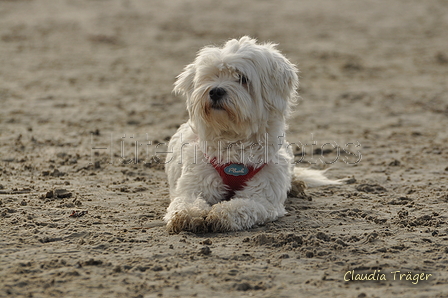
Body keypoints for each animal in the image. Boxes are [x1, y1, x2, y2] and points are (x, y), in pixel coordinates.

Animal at [164, 36, 340, 233]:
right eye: (212, 75)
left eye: (242, 78)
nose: (215, 91)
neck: (234, 141)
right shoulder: (195, 184)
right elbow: (184, 202)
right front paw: (187, 214)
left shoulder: (263, 197)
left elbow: (242, 205)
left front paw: (221, 213)